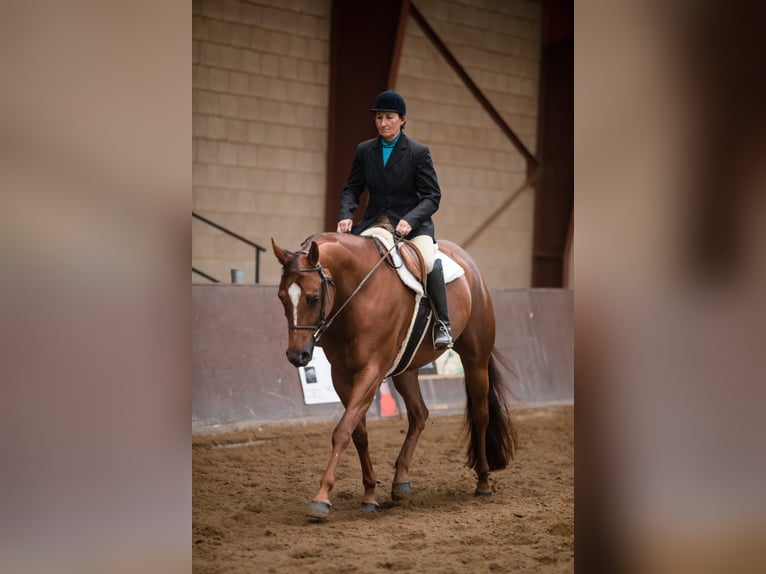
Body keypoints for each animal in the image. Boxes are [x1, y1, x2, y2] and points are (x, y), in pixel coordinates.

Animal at [272, 232, 520, 520]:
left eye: (313, 298)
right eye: (281, 297)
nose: (297, 355)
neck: (358, 291)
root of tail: (468, 263)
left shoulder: (372, 370)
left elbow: (342, 431)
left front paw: (321, 497)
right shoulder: (341, 375)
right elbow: (358, 433)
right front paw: (369, 494)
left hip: (475, 361)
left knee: (480, 416)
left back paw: (483, 482)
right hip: (407, 369)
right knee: (419, 414)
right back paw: (400, 481)